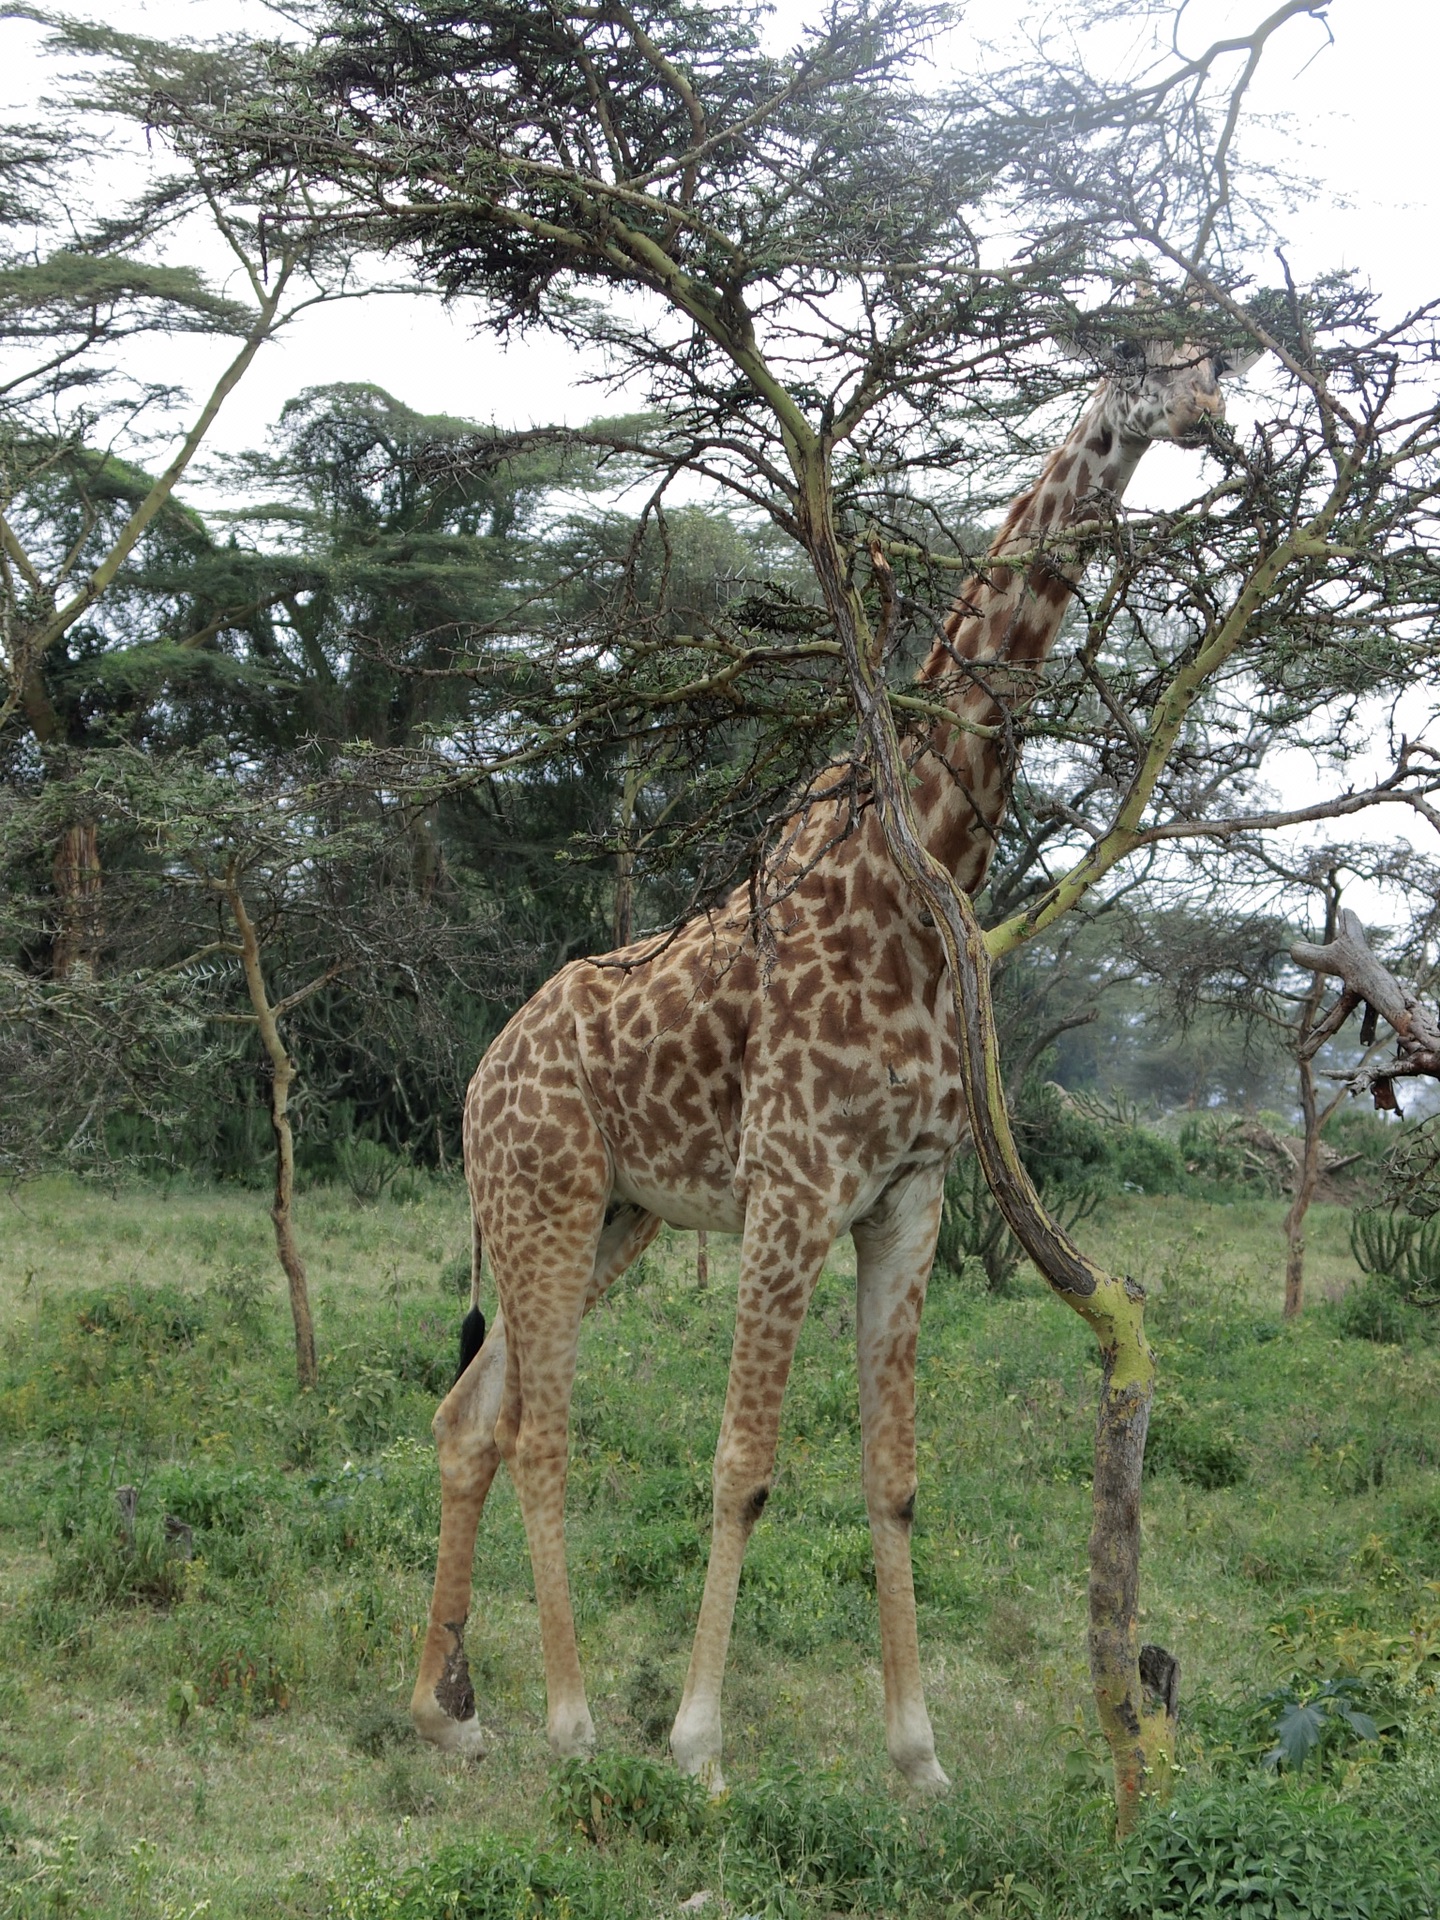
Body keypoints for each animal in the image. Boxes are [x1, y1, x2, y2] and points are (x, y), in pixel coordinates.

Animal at [410, 326, 1259, 1781]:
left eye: (1221, 351)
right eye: (1142, 355)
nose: (1207, 414)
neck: (917, 876)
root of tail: (480, 1076)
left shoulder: (908, 1199)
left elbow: (894, 1475)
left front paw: (917, 1753)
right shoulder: (795, 1188)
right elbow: (743, 1462)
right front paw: (697, 1742)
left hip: (612, 1216)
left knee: (469, 1416)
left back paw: (445, 1708)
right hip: (547, 1194)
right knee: (538, 1431)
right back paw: (572, 1720)